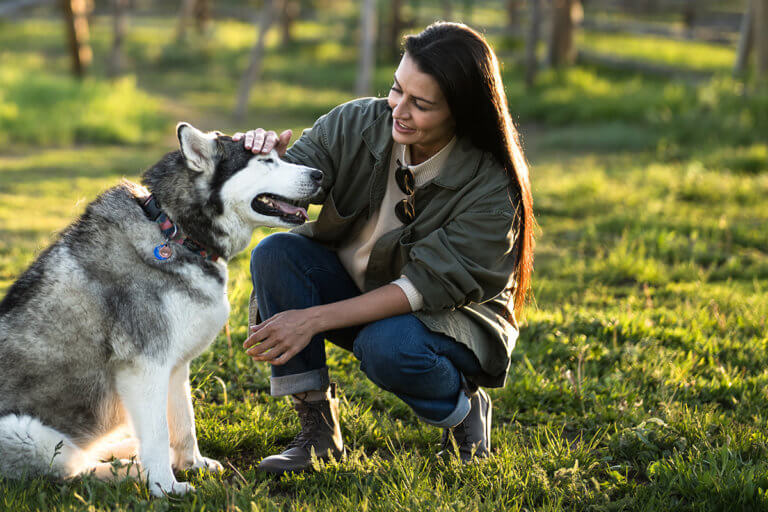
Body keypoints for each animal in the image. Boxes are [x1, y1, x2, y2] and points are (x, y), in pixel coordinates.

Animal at [0, 123, 320, 496]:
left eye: (278, 156)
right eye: (266, 161)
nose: (319, 174)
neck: (176, 231)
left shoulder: (175, 365)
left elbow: (183, 424)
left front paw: (193, 464)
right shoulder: (145, 366)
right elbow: (156, 434)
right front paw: (166, 487)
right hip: (24, 432)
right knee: (73, 470)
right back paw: (129, 470)